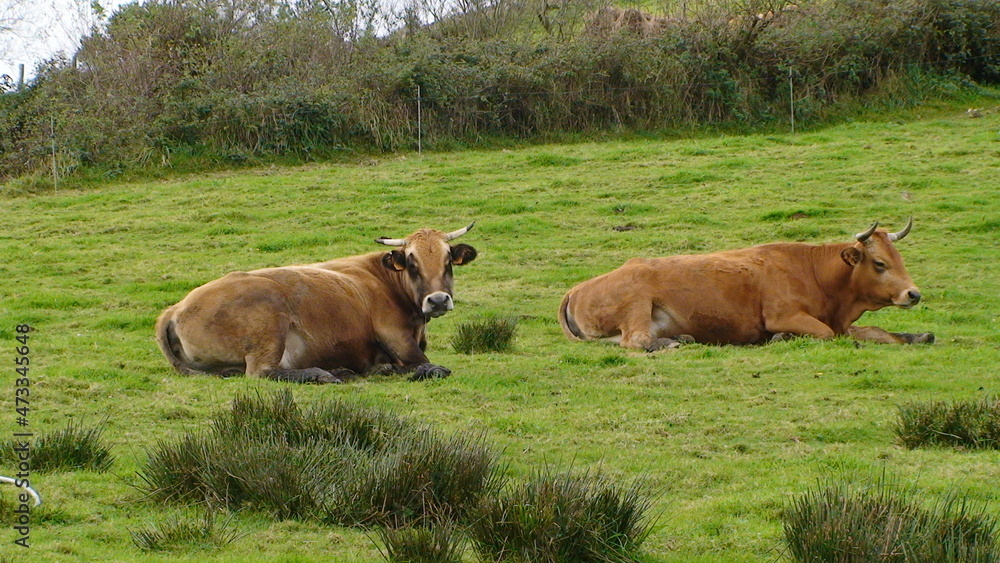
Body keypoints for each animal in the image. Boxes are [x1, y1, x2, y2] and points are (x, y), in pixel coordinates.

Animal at [155, 224, 477, 383]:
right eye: (412, 262)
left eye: (448, 260)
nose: (437, 300)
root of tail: (175, 308)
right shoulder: (398, 339)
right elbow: (428, 365)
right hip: (269, 324)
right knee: (260, 372)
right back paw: (322, 374)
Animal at [559, 219, 934, 350]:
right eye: (880, 264)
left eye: (899, 259)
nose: (913, 294)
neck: (813, 272)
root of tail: (576, 289)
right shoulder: (785, 316)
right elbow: (826, 334)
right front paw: (782, 338)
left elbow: (877, 332)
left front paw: (917, 336)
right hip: (637, 302)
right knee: (636, 340)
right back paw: (669, 343)